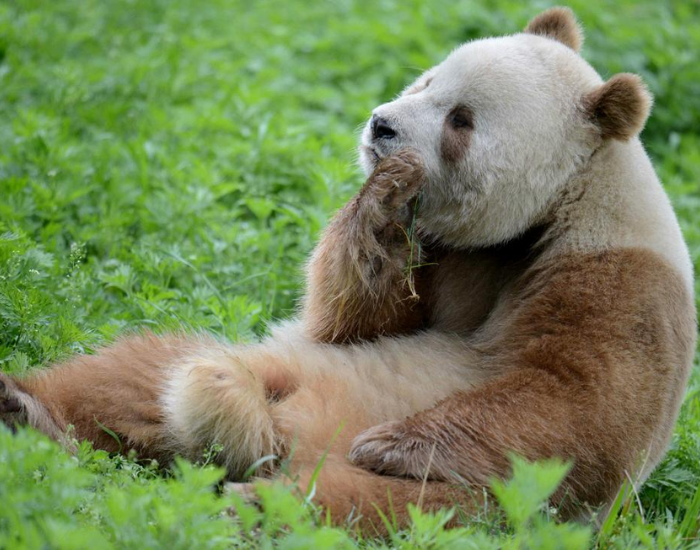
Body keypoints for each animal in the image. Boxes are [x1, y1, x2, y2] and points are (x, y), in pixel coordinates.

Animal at [1, 7, 695, 531]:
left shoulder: (618, 278)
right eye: (427, 80)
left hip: (482, 501)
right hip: (273, 363)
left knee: (385, 507)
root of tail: (275, 439)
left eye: (462, 120)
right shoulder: (446, 253)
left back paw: (257, 506)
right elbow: (351, 322)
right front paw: (382, 198)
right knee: (135, 374)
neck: (545, 212)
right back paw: (29, 412)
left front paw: (394, 443)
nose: (382, 127)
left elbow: (577, 402)